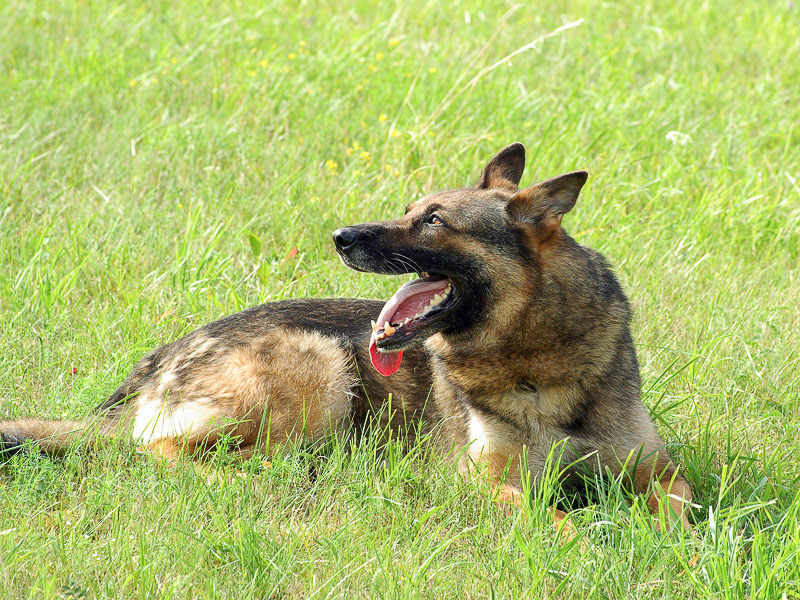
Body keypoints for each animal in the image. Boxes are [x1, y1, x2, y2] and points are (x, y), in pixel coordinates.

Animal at [0, 145, 692, 528]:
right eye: (411, 210)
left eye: (433, 221)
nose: (339, 236)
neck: (535, 358)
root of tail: (162, 357)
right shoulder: (486, 479)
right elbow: (547, 516)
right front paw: (594, 538)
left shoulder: (655, 470)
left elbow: (685, 508)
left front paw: (677, 545)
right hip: (319, 367)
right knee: (161, 452)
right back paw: (256, 482)